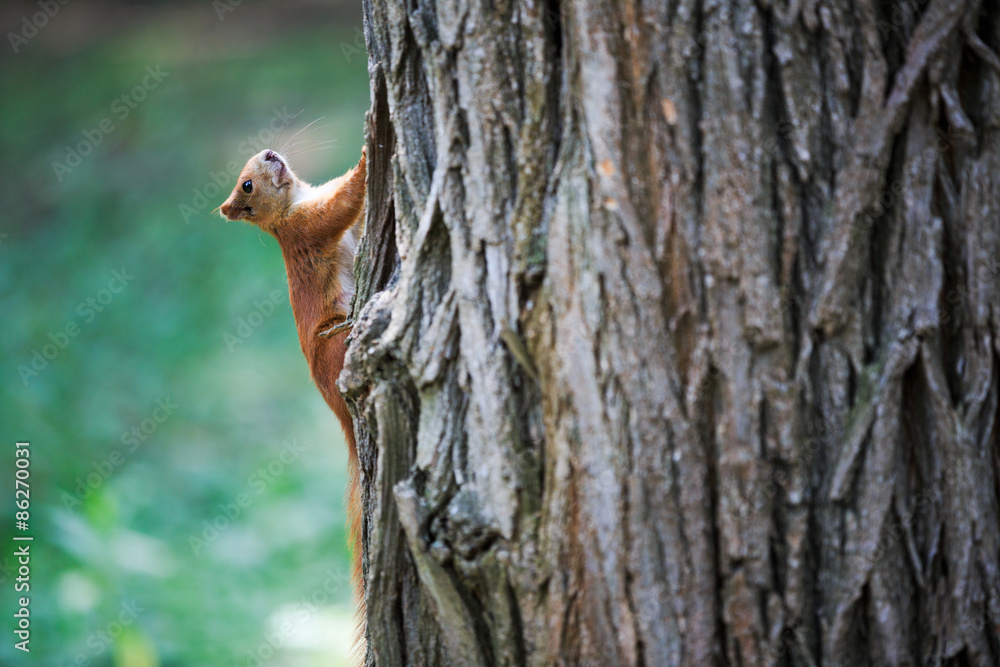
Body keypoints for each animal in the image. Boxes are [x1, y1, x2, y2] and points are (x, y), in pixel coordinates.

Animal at [219, 146, 366, 639]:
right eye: (246, 185)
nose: (270, 153)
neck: (292, 200)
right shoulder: (309, 226)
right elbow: (341, 206)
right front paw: (367, 158)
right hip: (337, 346)